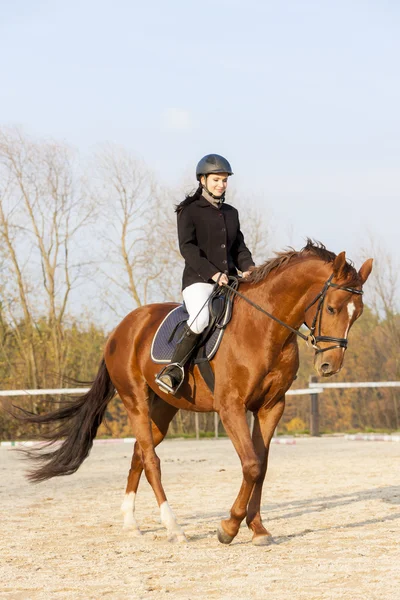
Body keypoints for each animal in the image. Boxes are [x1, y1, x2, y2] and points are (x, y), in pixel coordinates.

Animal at [21, 239, 372, 544]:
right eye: (332, 308)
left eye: (358, 313)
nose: (329, 365)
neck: (264, 328)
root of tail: (122, 328)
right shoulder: (230, 407)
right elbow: (251, 465)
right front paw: (229, 528)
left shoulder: (272, 407)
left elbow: (262, 466)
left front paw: (257, 528)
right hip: (135, 401)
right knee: (151, 459)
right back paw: (173, 527)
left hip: (163, 408)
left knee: (138, 453)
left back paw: (131, 523)